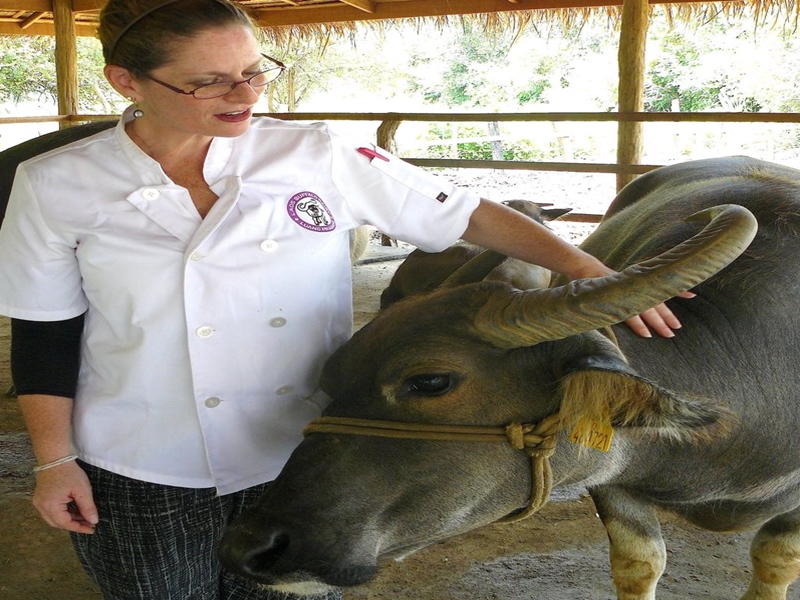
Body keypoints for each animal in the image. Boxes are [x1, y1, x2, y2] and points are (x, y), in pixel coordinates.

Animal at [219, 156, 800, 600]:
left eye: (430, 381)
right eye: (331, 379)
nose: (249, 545)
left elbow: (775, 562)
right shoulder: (615, 484)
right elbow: (639, 564)